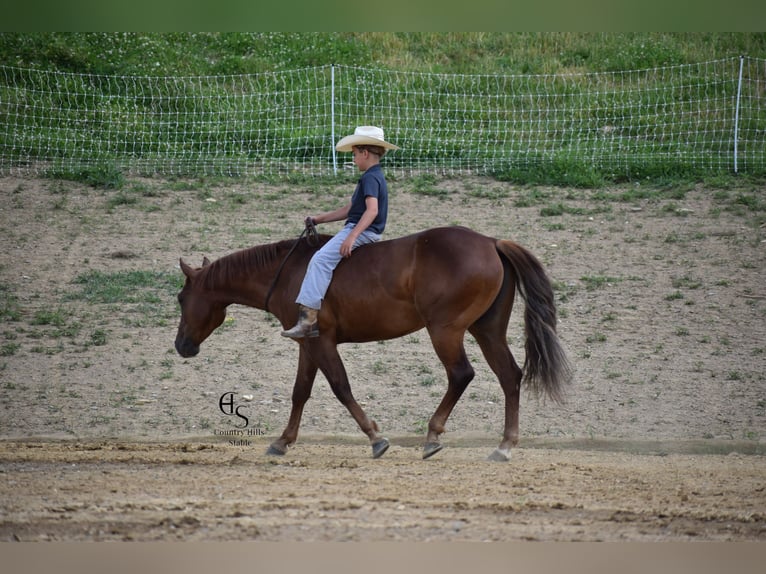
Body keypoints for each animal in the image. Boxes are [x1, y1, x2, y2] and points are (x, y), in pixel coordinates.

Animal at [175, 225, 571, 461]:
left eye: (180, 299)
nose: (181, 346)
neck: (289, 271)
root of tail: (491, 243)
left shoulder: (323, 342)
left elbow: (340, 387)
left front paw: (375, 437)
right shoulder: (308, 344)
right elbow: (300, 392)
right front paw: (282, 441)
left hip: (445, 331)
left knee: (461, 374)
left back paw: (433, 436)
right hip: (487, 331)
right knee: (509, 376)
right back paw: (504, 446)